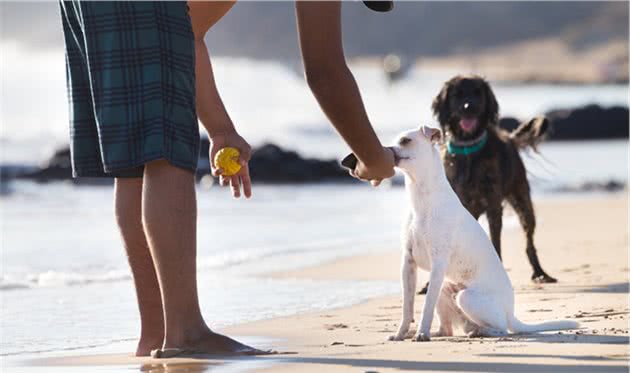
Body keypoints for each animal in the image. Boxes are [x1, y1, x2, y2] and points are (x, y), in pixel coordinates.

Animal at [388, 125, 580, 340]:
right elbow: (407, 307)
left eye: (406, 141)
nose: (387, 150)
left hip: (466, 297)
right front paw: (401, 333)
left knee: (501, 328)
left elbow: (426, 306)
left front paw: (421, 333)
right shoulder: (408, 263)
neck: (423, 199)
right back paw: (440, 333)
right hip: (445, 287)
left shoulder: (438, 263)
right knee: (447, 329)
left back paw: (480, 332)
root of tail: (510, 312)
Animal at [430, 76, 556, 284]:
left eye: (478, 93)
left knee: (529, 241)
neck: (468, 150)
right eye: (457, 94)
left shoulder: (493, 205)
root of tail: (511, 139)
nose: (468, 107)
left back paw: (539, 273)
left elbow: (495, 242)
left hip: (522, 202)